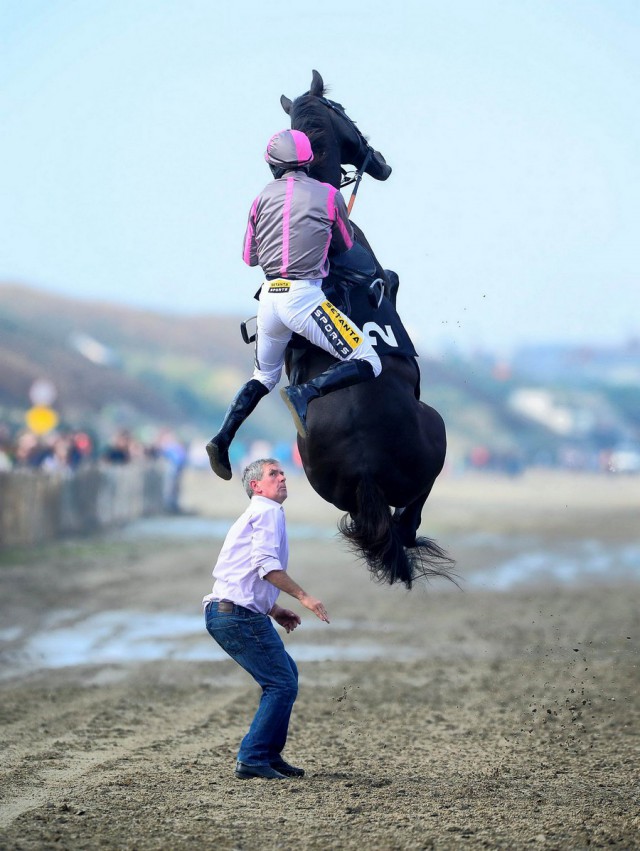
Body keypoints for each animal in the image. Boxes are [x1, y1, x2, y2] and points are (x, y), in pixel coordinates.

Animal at [280, 70, 456, 588]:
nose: (380, 163)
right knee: (411, 516)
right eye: (348, 115)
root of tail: (362, 466)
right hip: (436, 435)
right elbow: (392, 279)